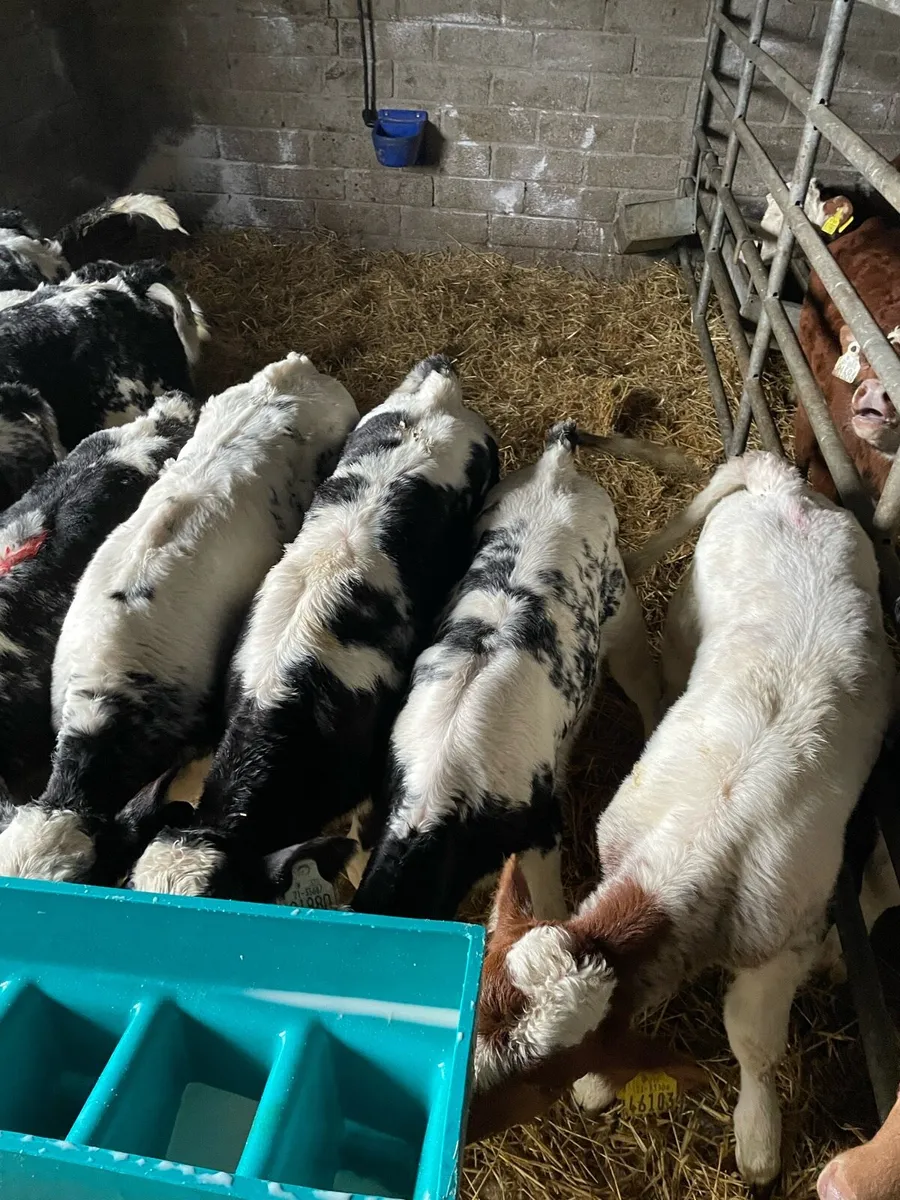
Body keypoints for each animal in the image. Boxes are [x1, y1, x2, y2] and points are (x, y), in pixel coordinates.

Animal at [468, 452, 893, 1196]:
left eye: (539, 1081)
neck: (697, 844)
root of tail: (788, 489)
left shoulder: (785, 939)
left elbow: (751, 1038)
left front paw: (757, 1138)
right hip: (687, 619)